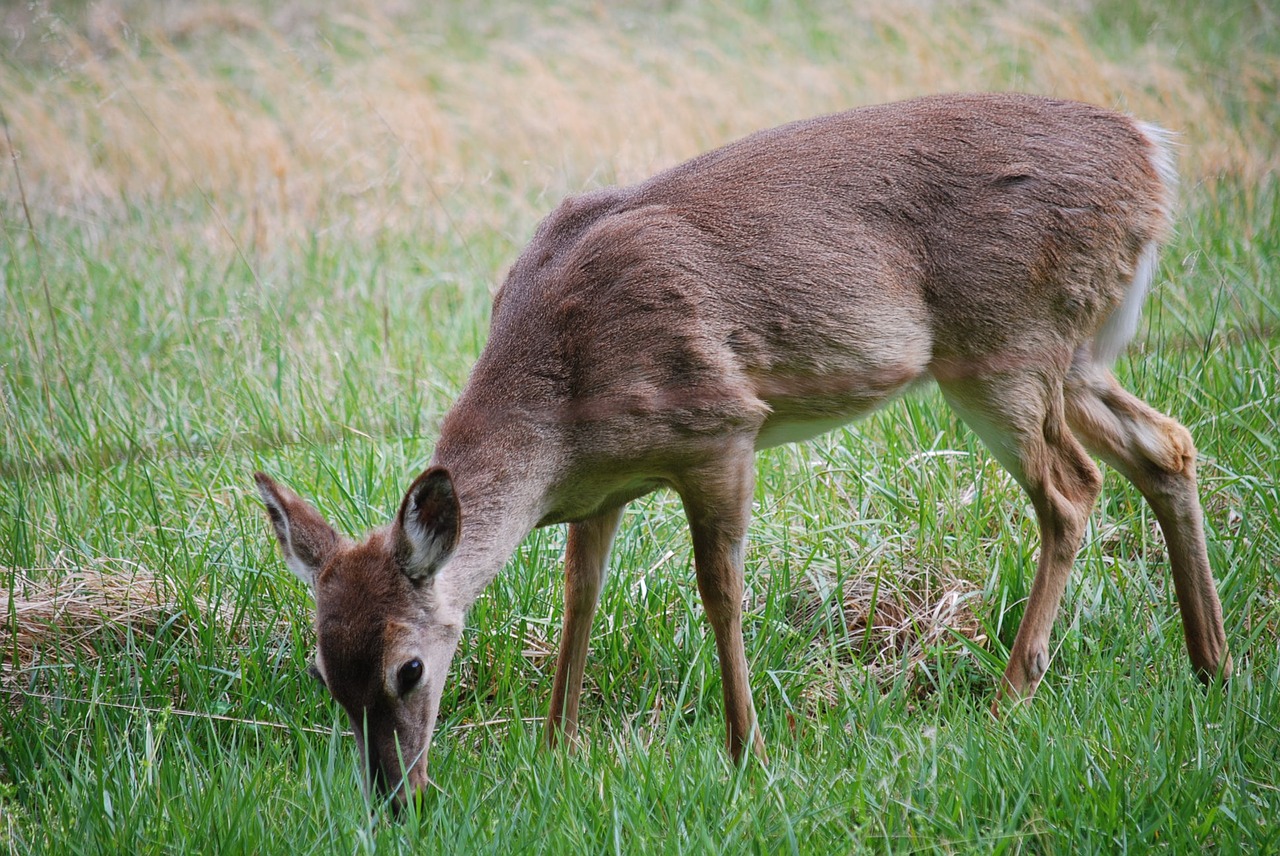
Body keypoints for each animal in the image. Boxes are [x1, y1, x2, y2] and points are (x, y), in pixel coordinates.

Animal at [257, 93, 1228, 808]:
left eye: (409, 668)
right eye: (321, 671)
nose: (395, 798)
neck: (563, 402)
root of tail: (1153, 154)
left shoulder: (721, 428)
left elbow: (719, 592)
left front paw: (746, 753)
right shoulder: (602, 490)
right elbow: (580, 595)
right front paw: (556, 747)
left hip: (1005, 344)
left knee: (1073, 488)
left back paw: (1010, 698)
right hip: (1073, 353)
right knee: (1167, 445)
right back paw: (1211, 665)